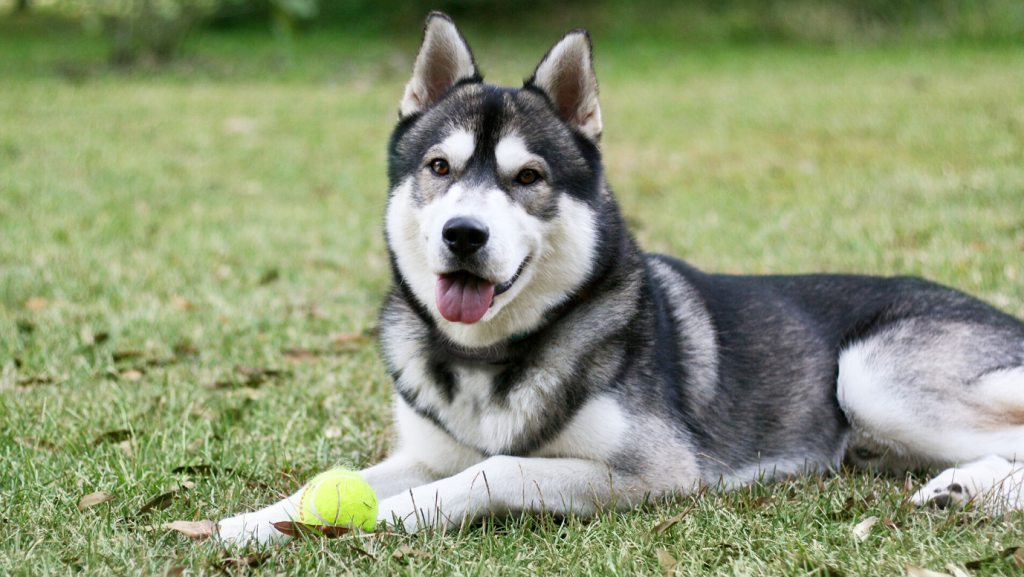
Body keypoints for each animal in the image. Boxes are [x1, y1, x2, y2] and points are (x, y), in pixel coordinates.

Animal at [211, 12, 1019, 545]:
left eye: (528, 177)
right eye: (439, 167)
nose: (463, 234)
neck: (491, 359)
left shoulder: (656, 471)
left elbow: (496, 471)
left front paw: (400, 514)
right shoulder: (422, 452)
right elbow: (325, 482)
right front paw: (249, 522)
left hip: (868, 375)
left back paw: (965, 490)